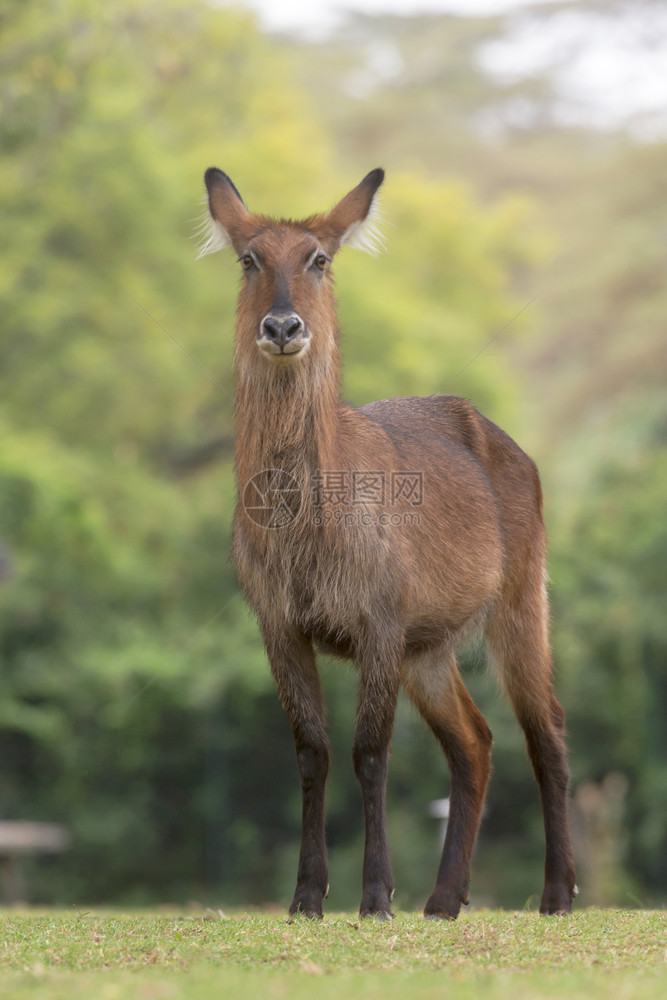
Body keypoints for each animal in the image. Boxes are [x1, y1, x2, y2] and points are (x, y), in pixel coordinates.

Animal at [201, 166, 576, 920]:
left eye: (319, 258)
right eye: (249, 258)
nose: (282, 326)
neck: (306, 530)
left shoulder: (378, 624)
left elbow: (369, 754)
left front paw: (374, 894)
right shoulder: (280, 626)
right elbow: (311, 752)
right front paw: (307, 896)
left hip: (519, 603)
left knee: (545, 727)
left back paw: (556, 892)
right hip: (428, 649)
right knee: (475, 740)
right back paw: (444, 899)